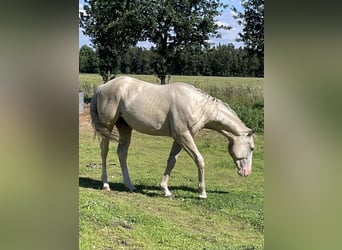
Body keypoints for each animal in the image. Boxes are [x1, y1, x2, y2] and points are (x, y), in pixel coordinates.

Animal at [89, 76, 255, 199]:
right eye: (252, 148)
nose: (246, 172)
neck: (197, 105)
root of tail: (102, 87)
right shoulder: (183, 136)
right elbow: (199, 160)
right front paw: (202, 193)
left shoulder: (180, 138)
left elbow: (171, 161)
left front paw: (166, 190)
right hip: (107, 126)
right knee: (104, 151)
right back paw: (106, 184)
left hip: (125, 128)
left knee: (122, 153)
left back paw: (130, 186)